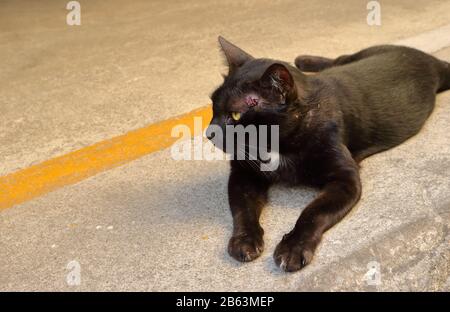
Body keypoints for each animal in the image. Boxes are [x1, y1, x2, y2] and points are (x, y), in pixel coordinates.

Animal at [208, 36, 450, 270]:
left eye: (235, 115)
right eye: (212, 106)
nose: (209, 133)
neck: (279, 146)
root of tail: (420, 54)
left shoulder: (345, 179)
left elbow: (314, 211)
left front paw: (293, 248)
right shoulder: (243, 173)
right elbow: (243, 208)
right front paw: (244, 241)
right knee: (338, 58)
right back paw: (303, 59)